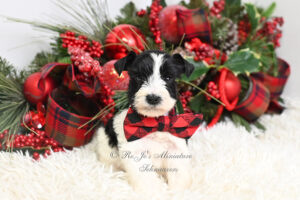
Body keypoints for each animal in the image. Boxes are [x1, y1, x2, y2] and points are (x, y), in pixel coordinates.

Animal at [95, 50, 195, 192]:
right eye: (139, 77)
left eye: (168, 77)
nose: (153, 98)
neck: (154, 123)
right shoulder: (136, 151)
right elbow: (146, 177)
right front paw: (153, 191)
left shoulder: (176, 147)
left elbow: (179, 174)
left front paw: (179, 191)